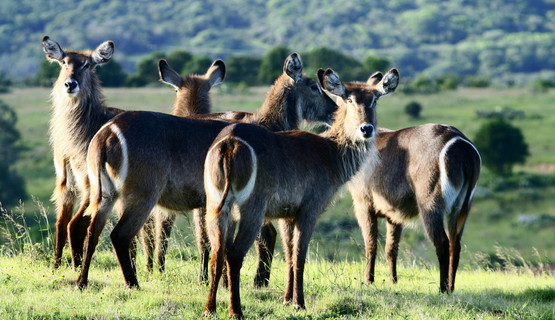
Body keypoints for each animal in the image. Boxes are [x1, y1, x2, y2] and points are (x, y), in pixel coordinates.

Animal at [41, 35, 226, 270]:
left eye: (87, 65)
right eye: (63, 62)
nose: (70, 84)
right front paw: (152, 269)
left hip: (72, 186)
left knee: (64, 223)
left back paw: (60, 267)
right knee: (77, 225)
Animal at [75, 53, 336, 290]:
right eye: (314, 86)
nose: (335, 109)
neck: (268, 124)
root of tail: (109, 131)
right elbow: (230, 242)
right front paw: (229, 283)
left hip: (105, 194)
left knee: (92, 230)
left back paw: (82, 281)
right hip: (142, 195)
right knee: (120, 236)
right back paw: (133, 283)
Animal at [203, 67, 400, 318]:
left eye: (374, 99)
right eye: (349, 99)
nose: (366, 129)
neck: (330, 152)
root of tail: (230, 142)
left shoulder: (287, 214)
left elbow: (288, 253)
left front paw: (287, 300)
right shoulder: (309, 210)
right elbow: (299, 256)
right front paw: (299, 303)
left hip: (217, 206)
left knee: (217, 253)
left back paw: (209, 309)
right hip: (251, 210)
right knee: (234, 255)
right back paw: (236, 311)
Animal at [350, 113, 480, 292]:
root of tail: (461, 145)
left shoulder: (363, 204)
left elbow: (371, 245)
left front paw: (368, 281)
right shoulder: (394, 214)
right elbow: (391, 248)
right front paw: (393, 281)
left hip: (431, 205)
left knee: (442, 243)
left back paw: (442, 289)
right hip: (460, 209)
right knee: (455, 245)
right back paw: (451, 288)